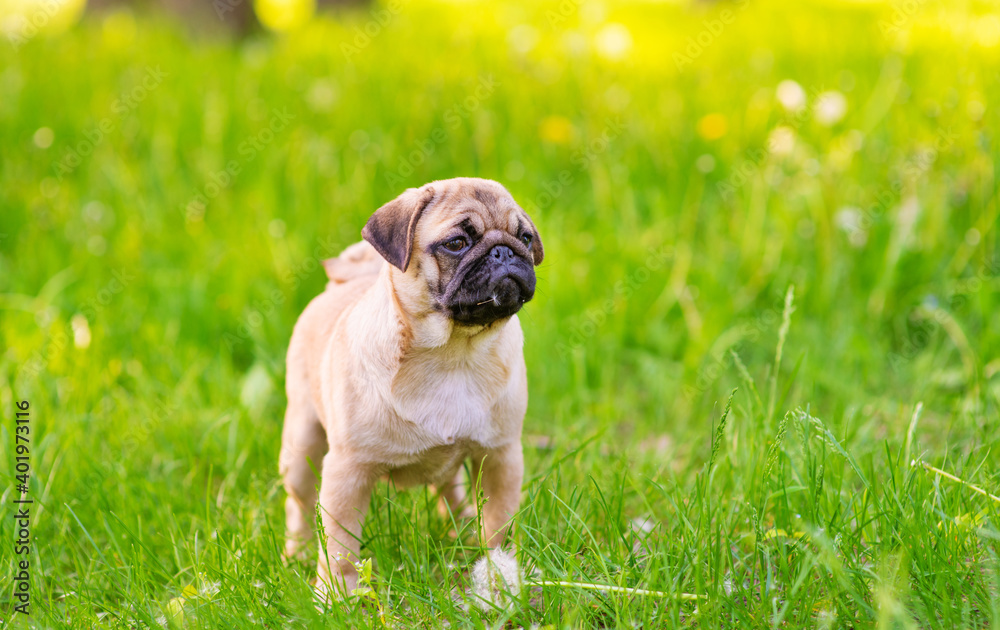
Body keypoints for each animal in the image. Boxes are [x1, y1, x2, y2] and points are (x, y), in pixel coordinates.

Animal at [280, 177, 548, 596]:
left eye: (524, 237)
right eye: (457, 243)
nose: (504, 251)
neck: (454, 354)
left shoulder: (500, 457)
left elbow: (498, 526)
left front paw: (497, 572)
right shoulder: (347, 472)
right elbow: (340, 547)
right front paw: (335, 596)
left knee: (449, 490)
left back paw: (460, 532)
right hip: (301, 443)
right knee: (300, 503)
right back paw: (298, 553)